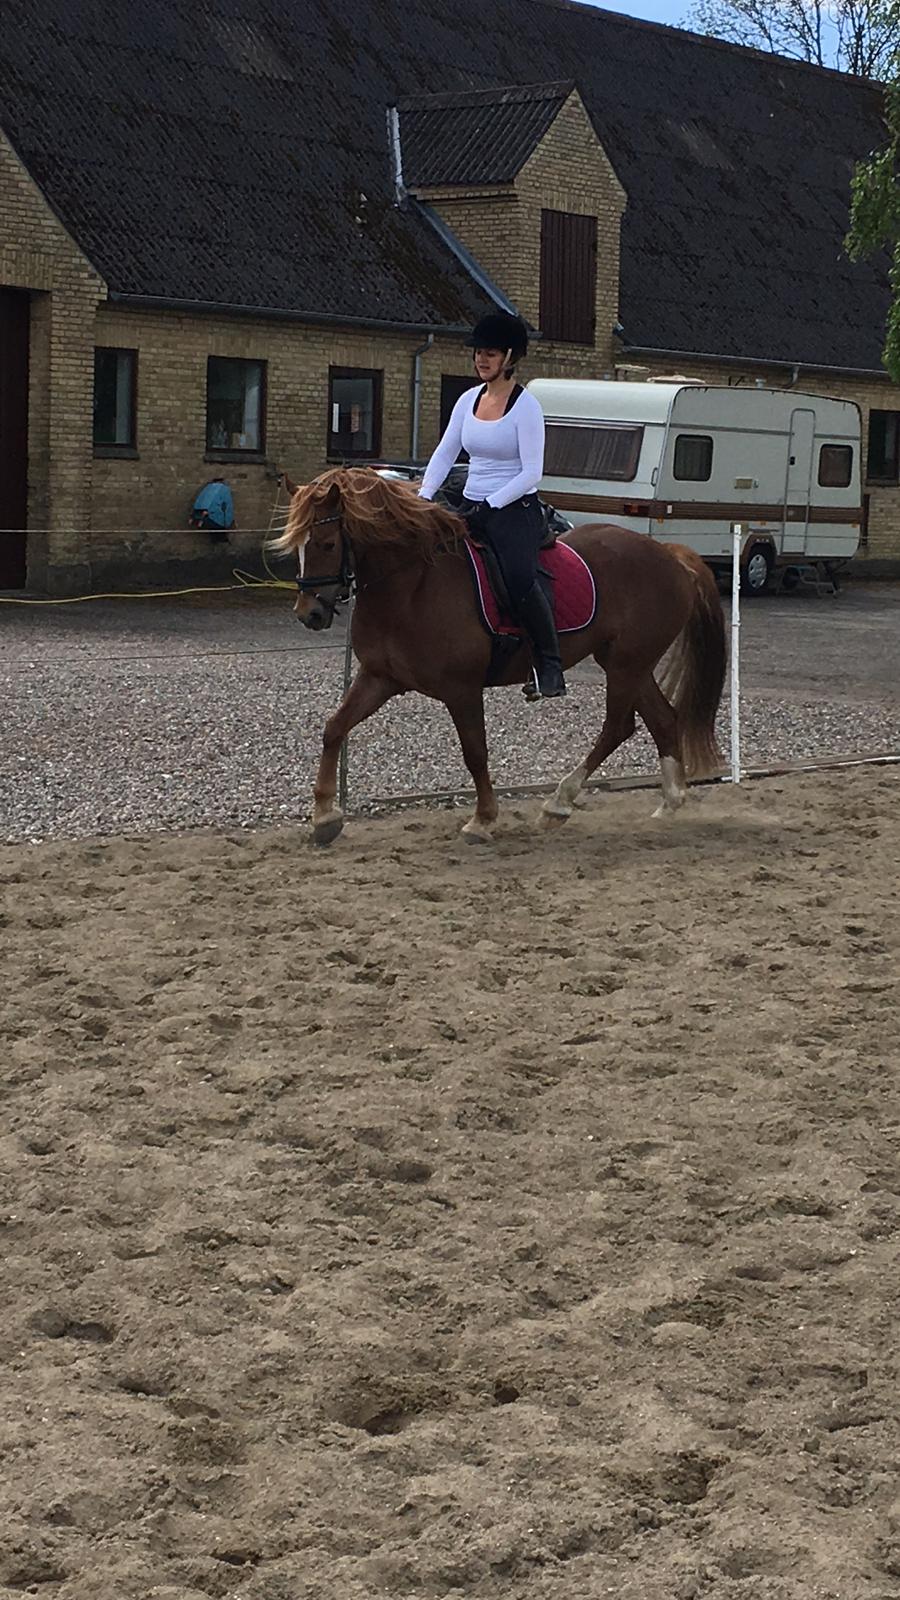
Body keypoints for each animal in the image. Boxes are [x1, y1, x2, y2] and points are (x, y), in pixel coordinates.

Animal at [269, 467, 723, 851]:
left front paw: (483, 819)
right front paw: (324, 817)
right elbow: (333, 729)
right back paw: (669, 802)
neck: (411, 584)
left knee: (617, 726)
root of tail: (669, 554)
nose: (309, 614)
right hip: (627, 662)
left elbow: (475, 752)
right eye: (298, 548)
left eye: (327, 544)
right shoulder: (379, 678)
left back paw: (559, 802)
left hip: (627, 664)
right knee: (661, 719)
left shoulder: (462, 689)